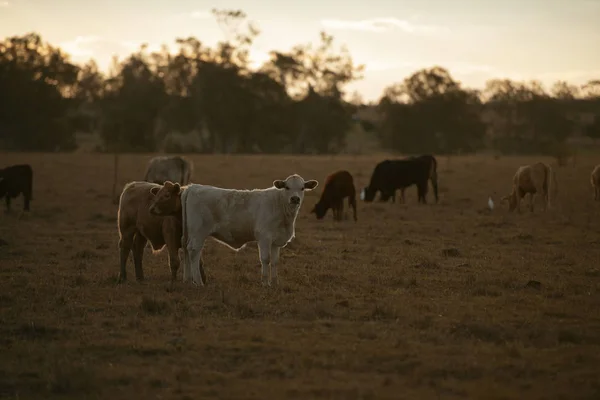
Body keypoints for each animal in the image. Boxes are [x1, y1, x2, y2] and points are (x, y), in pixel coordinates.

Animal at [180, 173, 318, 286]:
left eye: (302, 188)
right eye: (287, 187)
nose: (295, 199)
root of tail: (193, 187)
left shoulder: (275, 241)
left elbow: (275, 262)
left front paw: (275, 283)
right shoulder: (264, 237)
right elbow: (266, 259)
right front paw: (265, 283)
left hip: (188, 233)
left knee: (186, 249)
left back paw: (188, 280)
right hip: (198, 232)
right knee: (194, 251)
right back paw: (198, 282)